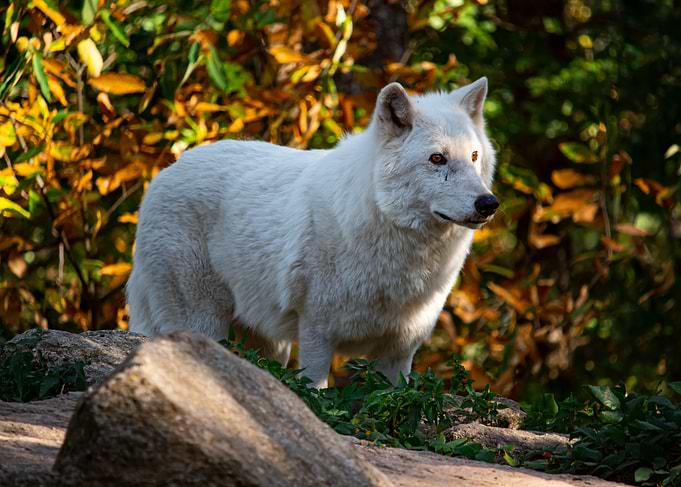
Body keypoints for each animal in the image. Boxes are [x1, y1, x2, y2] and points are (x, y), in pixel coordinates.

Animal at [126, 77, 498, 388]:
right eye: (437, 159)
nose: (488, 203)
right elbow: (316, 393)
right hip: (203, 321)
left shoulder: (399, 350)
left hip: (269, 343)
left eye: (474, 156)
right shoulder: (317, 333)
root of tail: (163, 174)